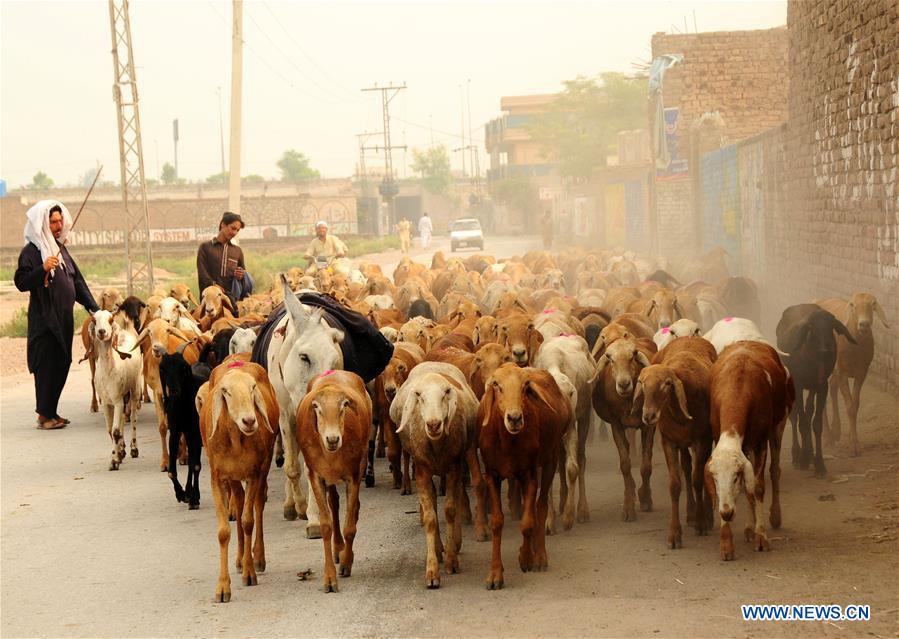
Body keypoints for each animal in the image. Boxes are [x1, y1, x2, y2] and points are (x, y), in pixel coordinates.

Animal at [162, 350, 206, 510]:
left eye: (182, 367)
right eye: (163, 368)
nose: (175, 390)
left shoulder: (196, 433)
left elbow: (196, 466)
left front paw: (194, 498)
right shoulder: (175, 432)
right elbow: (171, 472)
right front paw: (181, 493)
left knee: (193, 463)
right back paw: (187, 491)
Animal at [772, 304, 856, 476]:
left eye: (830, 326)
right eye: (812, 327)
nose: (825, 350)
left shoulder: (821, 386)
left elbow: (816, 423)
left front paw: (819, 464)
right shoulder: (797, 385)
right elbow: (802, 422)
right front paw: (803, 459)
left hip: (811, 388)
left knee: (808, 410)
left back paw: (809, 453)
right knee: (795, 417)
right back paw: (798, 454)